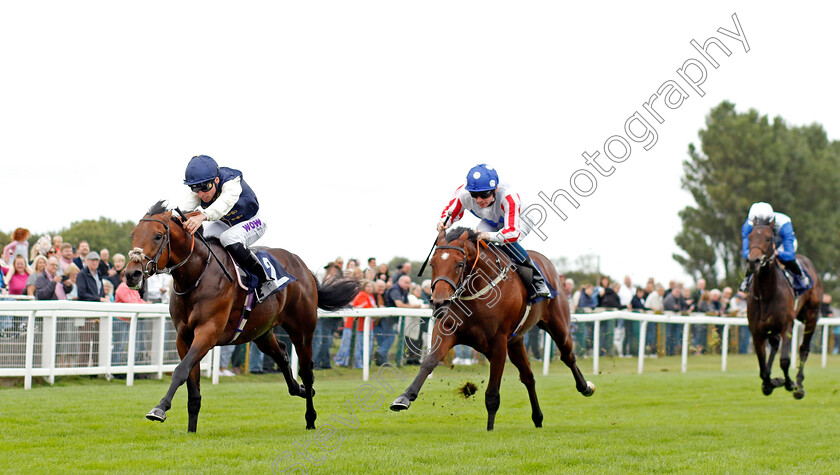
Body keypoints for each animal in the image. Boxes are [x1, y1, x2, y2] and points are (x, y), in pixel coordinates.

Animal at [126, 203, 360, 434]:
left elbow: (180, 370)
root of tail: (303, 267)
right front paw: (191, 429)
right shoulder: (183, 337)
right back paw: (301, 390)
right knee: (282, 354)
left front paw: (159, 408)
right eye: (133, 234)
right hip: (261, 331)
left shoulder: (208, 332)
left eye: (158, 236)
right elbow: (192, 383)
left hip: (302, 330)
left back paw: (310, 417)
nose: (131, 274)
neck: (196, 275)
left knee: (307, 371)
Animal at [390, 227, 592, 432]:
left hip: (558, 326)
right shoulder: (447, 331)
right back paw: (538, 417)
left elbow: (493, 392)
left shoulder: (499, 342)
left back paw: (585, 387)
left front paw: (490, 428)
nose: (439, 302)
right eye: (432, 263)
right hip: (516, 341)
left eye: (460, 263)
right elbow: (429, 361)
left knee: (568, 356)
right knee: (528, 376)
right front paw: (404, 397)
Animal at [744, 218, 824, 398]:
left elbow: (785, 361)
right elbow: (762, 367)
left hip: (811, 315)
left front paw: (789, 383)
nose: (753, 261)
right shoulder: (756, 331)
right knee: (774, 344)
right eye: (750, 237)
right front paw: (770, 383)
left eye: (768, 238)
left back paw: (799, 386)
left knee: (804, 349)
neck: (766, 293)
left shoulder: (786, 326)